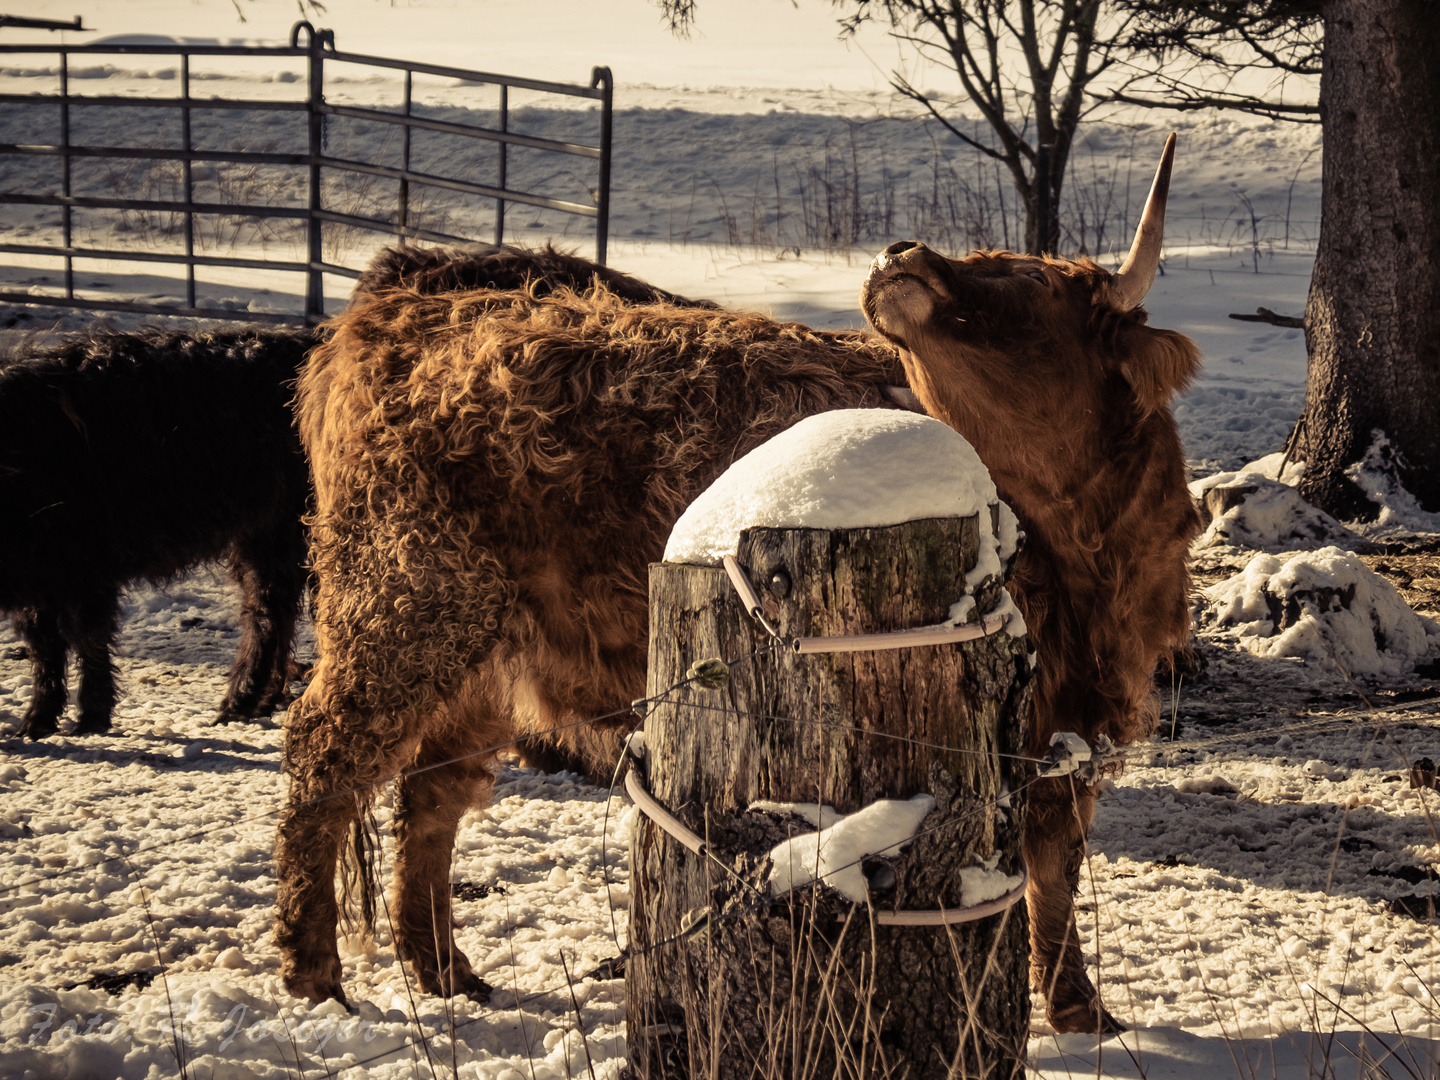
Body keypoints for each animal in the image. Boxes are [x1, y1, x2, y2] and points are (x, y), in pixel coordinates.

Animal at [277, 139, 1192, 1036]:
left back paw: (446, 973)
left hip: (487, 645)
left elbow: (1055, 860)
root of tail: (404, 308)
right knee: (328, 758)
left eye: (1034, 279)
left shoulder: (1074, 718)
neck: (1081, 560)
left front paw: (1080, 1009)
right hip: (407, 604)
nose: (903, 254)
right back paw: (316, 975)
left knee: (432, 792)